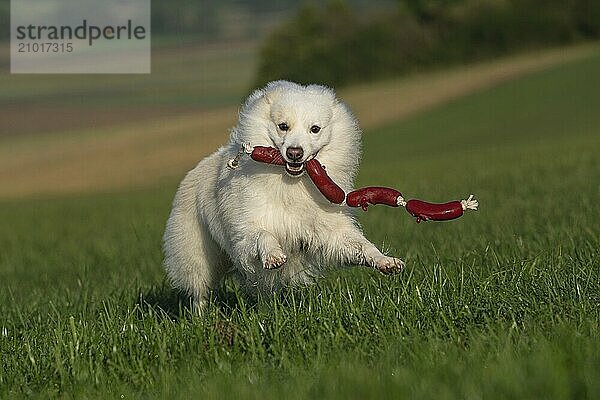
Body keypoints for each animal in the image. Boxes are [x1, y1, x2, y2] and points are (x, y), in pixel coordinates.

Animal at [163, 81, 404, 312]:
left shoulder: (331, 230)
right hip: (197, 256)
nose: (294, 153)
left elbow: (362, 245)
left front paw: (386, 261)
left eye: (315, 129)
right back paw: (201, 318)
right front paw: (273, 255)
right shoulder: (246, 229)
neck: (293, 183)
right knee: (200, 292)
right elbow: (263, 235)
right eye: (283, 126)